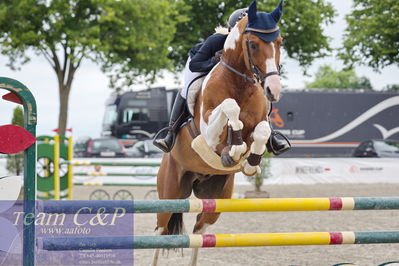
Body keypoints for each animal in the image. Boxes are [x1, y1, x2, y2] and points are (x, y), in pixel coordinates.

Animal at [152, 1, 282, 264]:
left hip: (216, 200)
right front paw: (234, 148)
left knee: (199, 231)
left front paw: (250, 161)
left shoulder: (260, 122)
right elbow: (230, 108)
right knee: (159, 232)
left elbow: (262, 130)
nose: (273, 90)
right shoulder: (208, 135)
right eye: (253, 44)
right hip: (169, 195)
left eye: (280, 42)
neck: (240, 83)